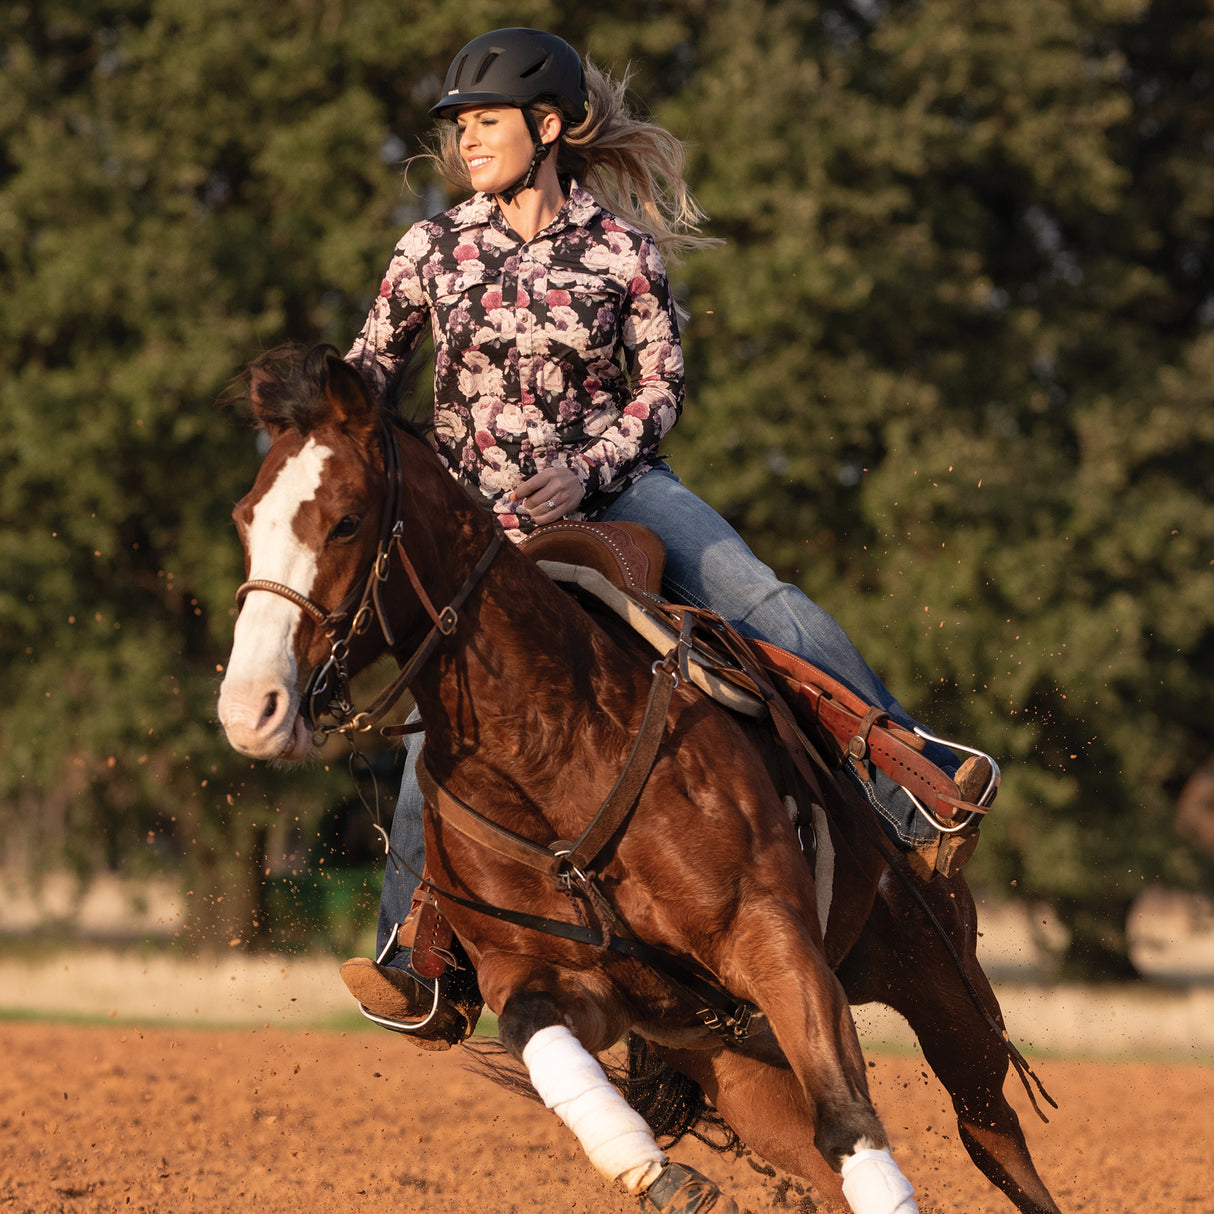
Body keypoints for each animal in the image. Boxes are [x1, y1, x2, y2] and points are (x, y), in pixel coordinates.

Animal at [216, 345, 1062, 1214]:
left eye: (347, 518)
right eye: (246, 519)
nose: (251, 707)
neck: (552, 747)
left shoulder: (772, 939)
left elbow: (852, 1121)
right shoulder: (564, 982)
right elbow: (541, 1038)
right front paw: (665, 1178)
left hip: (948, 994)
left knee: (995, 1138)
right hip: (745, 1068)